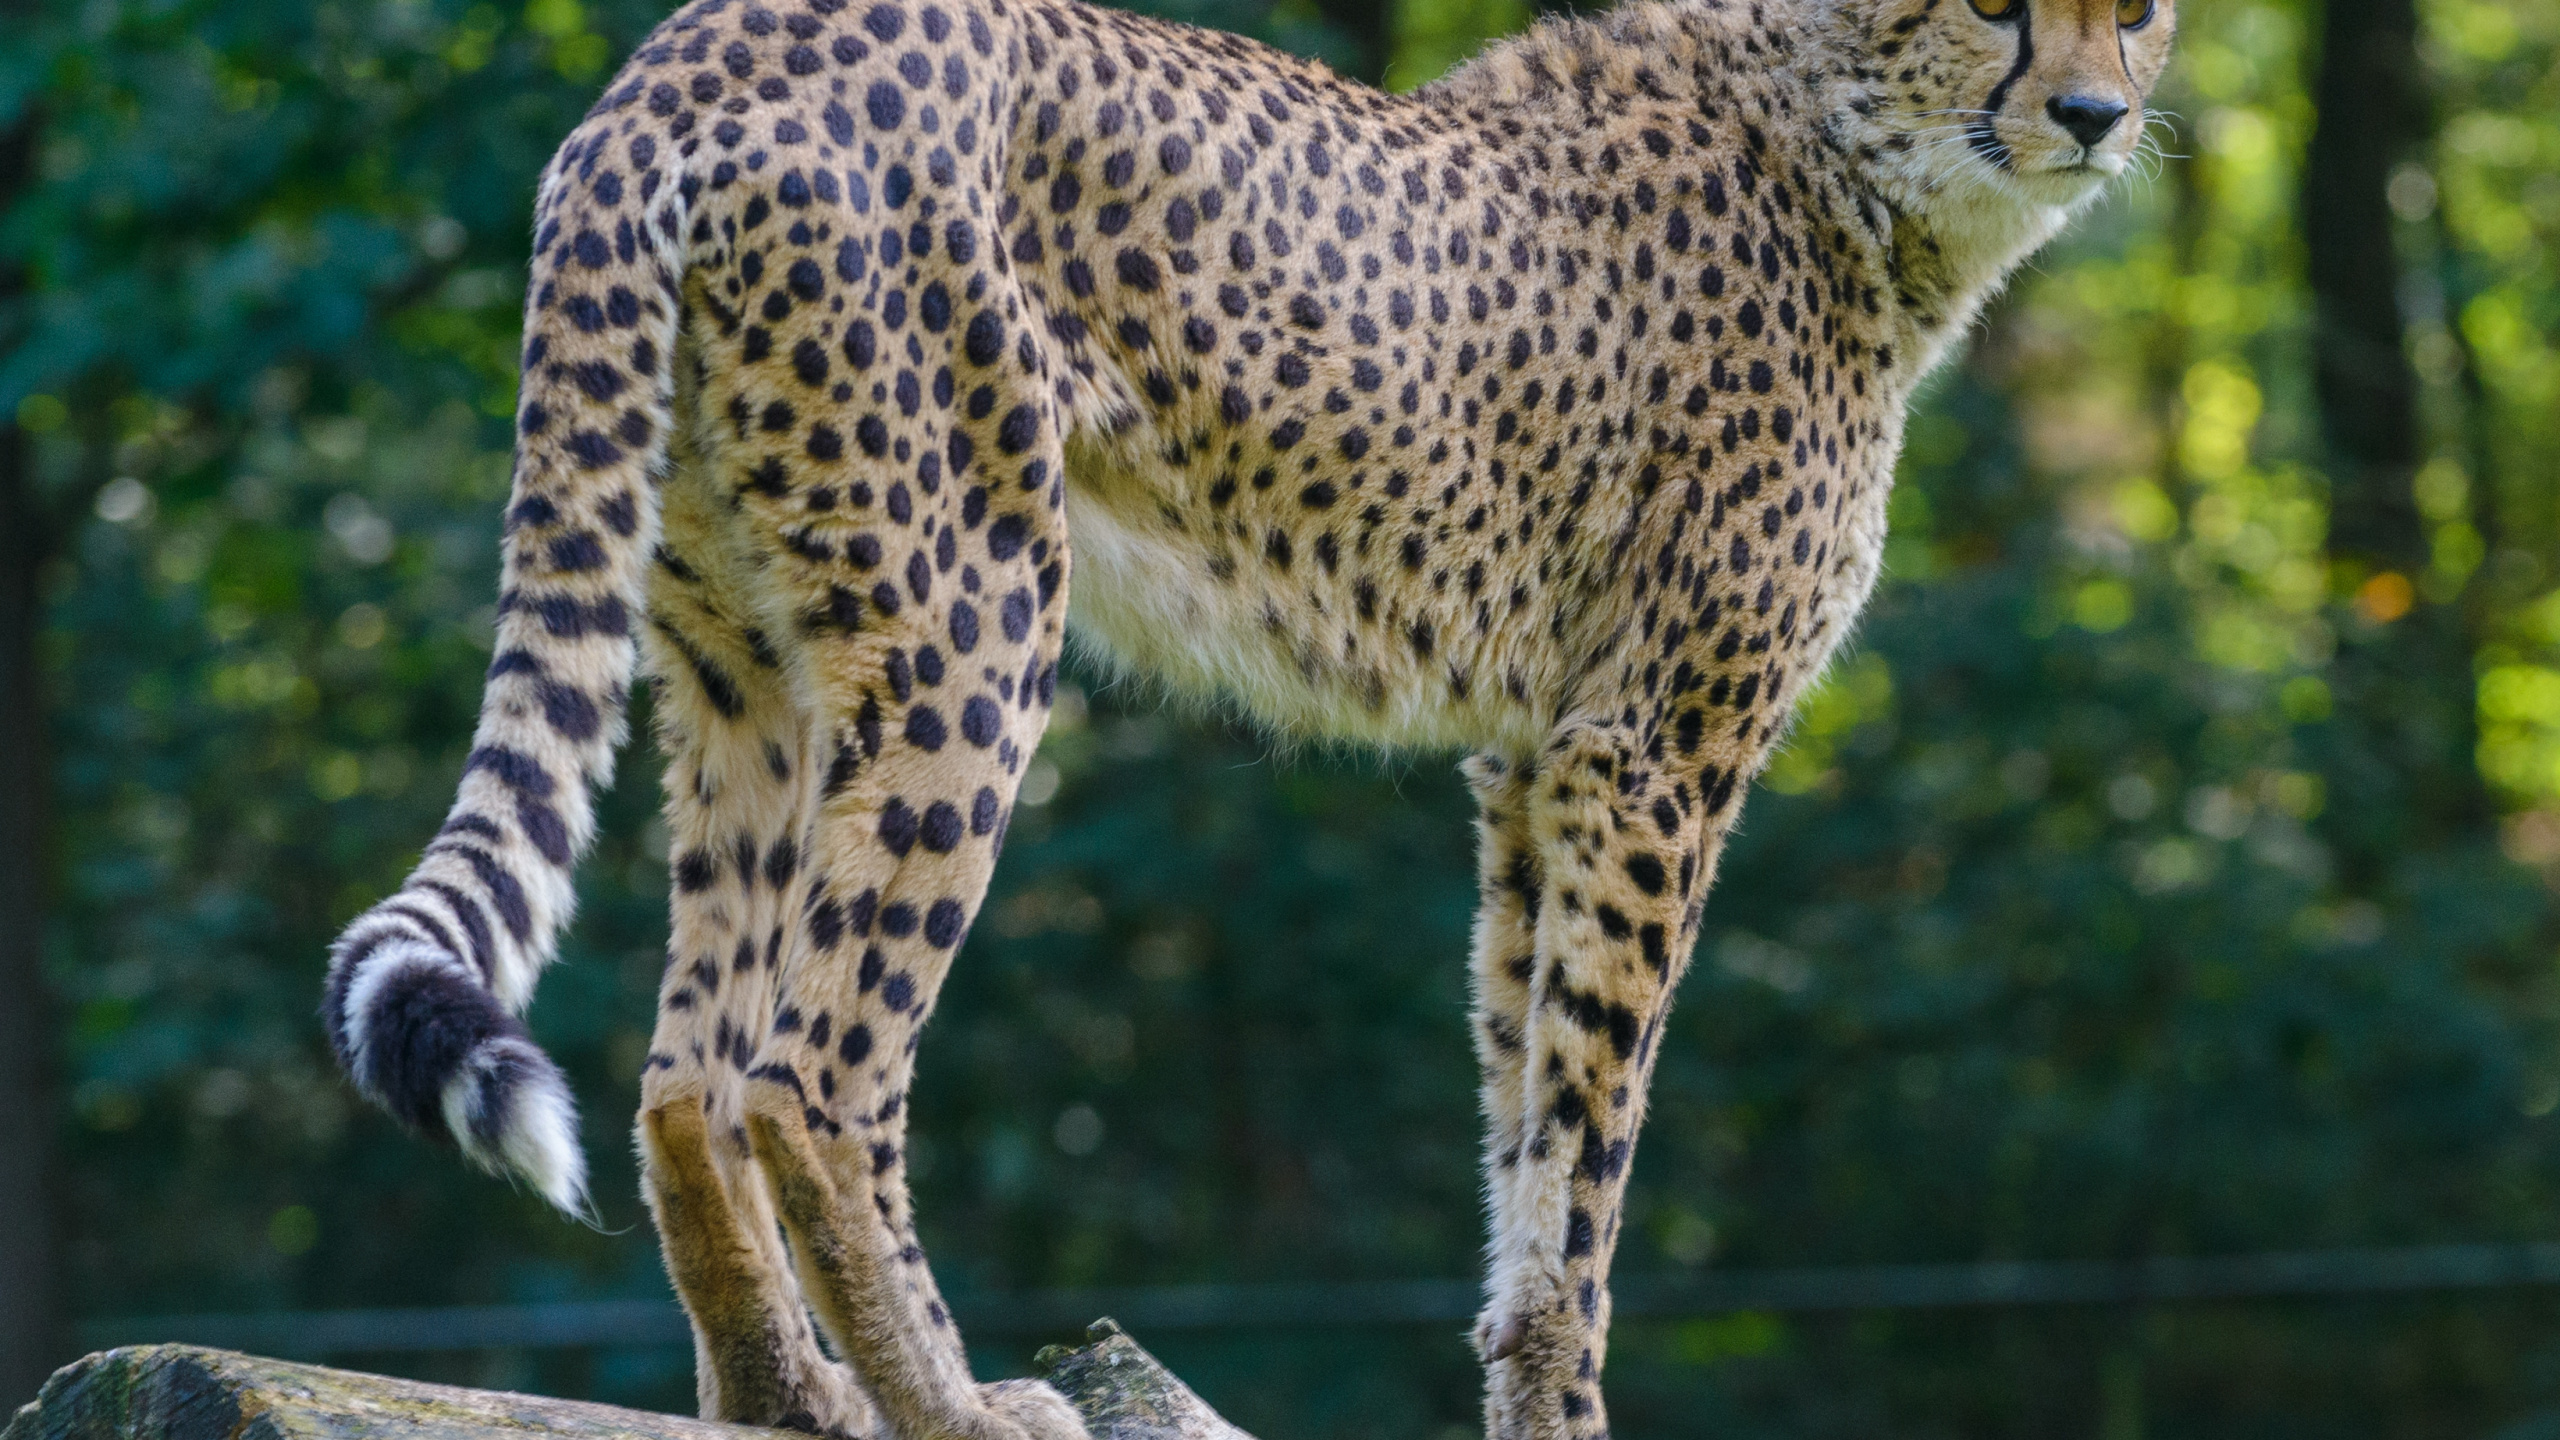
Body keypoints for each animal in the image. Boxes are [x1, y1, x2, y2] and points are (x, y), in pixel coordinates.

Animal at [316, 0, 2174, 1432]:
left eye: (2139, 6)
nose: (2097, 115)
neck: (1843, 132)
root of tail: (687, 53)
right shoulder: (1653, 755)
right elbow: (1591, 1157)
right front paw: (1567, 1399)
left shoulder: (1533, 761)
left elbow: (1523, 1116)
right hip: (974, 612)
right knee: (806, 1080)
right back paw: (956, 1405)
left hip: (743, 662)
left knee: (683, 1082)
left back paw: (792, 1400)